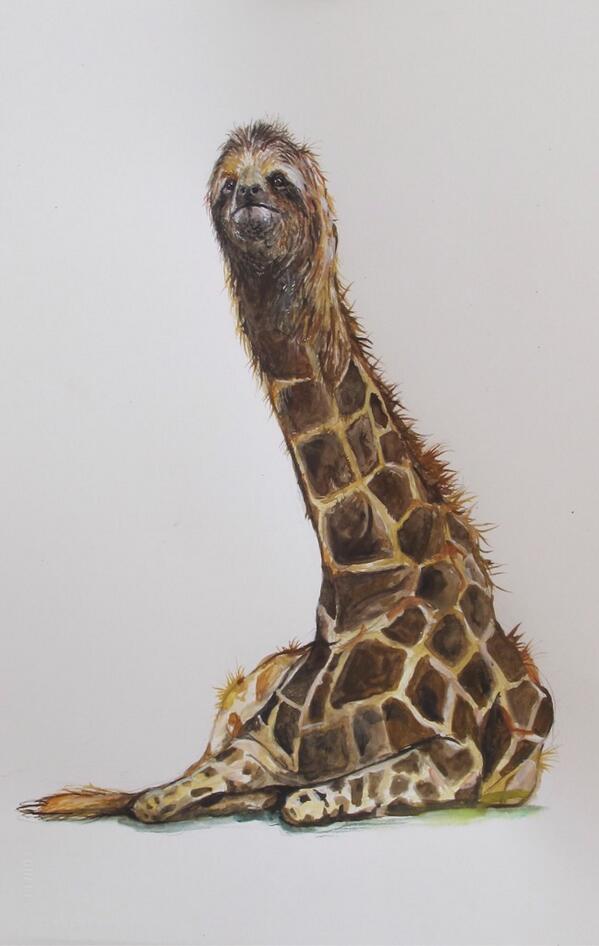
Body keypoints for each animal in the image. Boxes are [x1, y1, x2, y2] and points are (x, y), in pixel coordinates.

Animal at [20, 121, 554, 827]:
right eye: (227, 185)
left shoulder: (457, 754)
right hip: (238, 696)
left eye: (279, 180)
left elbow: (303, 801)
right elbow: (159, 797)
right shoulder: (263, 740)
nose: (248, 196)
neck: (361, 582)